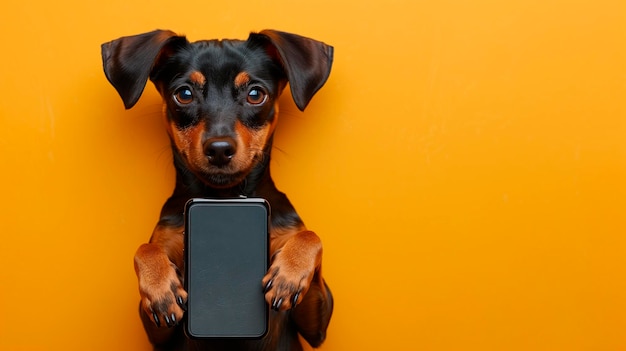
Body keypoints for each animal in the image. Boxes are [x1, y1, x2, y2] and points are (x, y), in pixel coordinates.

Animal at [102, 30, 334, 351]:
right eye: (184, 94)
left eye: (255, 94)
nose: (220, 149)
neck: (223, 197)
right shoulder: (157, 332)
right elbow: (145, 248)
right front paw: (160, 287)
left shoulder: (316, 328)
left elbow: (311, 236)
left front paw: (290, 273)